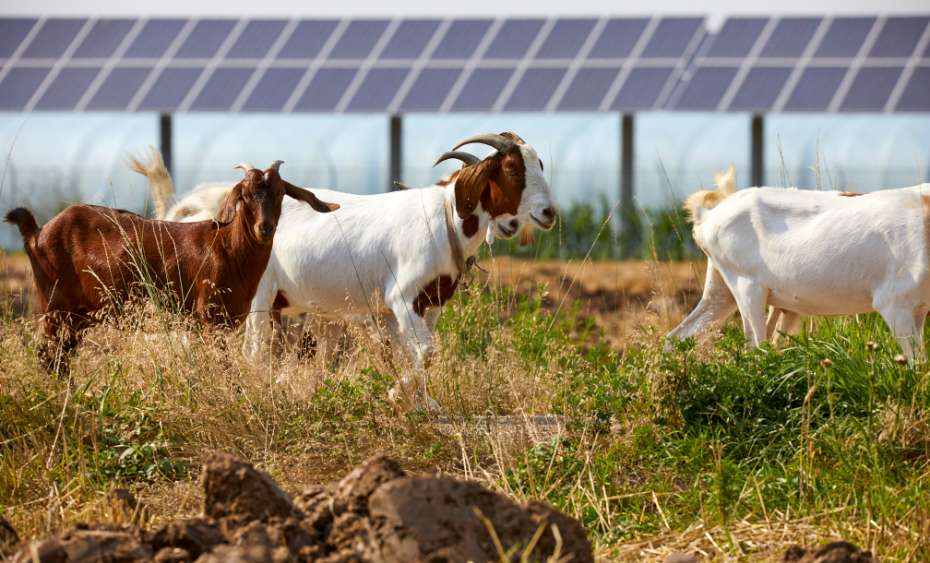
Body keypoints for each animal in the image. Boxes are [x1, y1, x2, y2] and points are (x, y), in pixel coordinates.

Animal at [5, 161, 338, 370]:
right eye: (244, 195)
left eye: (281, 193)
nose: (264, 228)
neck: (226, 249)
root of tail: (37, 232)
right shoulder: (209, 320)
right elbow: (224, 369)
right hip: (54, 307)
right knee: (47, 356)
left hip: (77, 316)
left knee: (61, 358)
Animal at [664, 167, 928, 362]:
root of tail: (707, 217)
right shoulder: (895, 304)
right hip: (746, 288)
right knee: (756, 347)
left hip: (721, 292)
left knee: (676, 336)